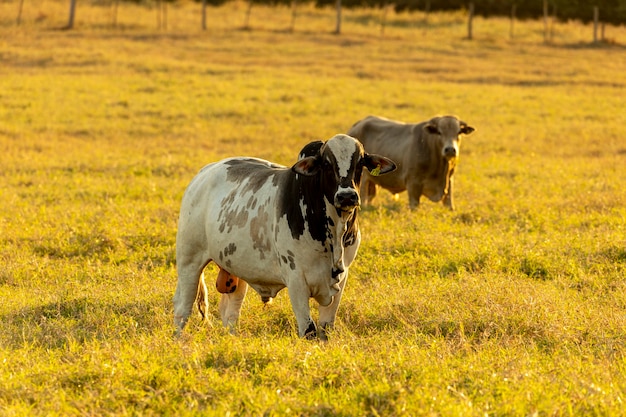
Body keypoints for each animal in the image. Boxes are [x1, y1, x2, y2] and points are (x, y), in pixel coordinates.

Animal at [173, 135, 392, 340]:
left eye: (360, 162)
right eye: (327, 163)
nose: (347, 196)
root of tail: (204, 173)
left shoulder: (341, 278)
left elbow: (325, 330)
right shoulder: (296, 279)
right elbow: (309, 330)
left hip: (235, 269)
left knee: (230, 312)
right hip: (189, 261)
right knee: (182, 308)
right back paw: (179, 339)